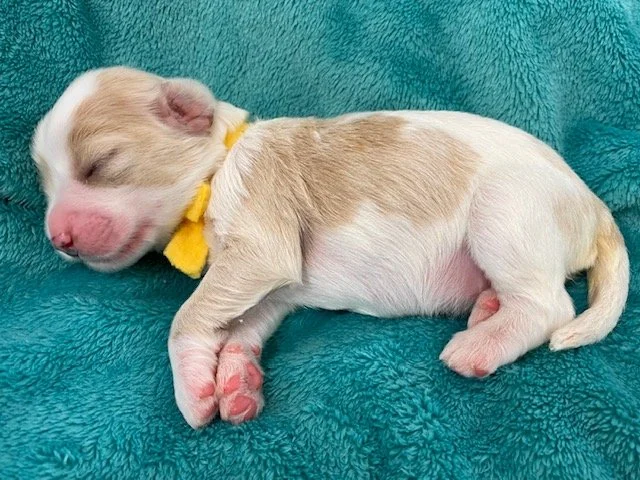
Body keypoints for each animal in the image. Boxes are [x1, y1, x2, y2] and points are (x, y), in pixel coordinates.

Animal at [31, 66, 629, 428]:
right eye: (44, 180)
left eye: (101, 164)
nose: (57, 239)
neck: (221, 165)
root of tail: (593, 203)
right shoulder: (271, 287)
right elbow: (240, 324)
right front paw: (236, 378)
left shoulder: (259, 248)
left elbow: (187, 317)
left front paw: (193, 387)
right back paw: (487, 309)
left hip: (505, 215)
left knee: (550, 307)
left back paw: (480, 345)